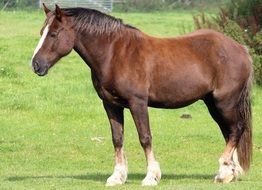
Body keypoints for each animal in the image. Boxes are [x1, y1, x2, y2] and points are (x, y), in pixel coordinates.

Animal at [31, 4, 253, 186]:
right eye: (42, 32)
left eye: (54, 34)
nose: (36, 65)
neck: (114, 54)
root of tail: (240, 49)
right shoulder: (111, 105)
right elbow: (117, 138)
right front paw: (117, 176)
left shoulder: (137, 103)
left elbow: (145, 137)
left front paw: (151, 177)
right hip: (213, 103)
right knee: (228, 132)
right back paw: (229, 172)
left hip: (224, 102)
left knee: (235, 130)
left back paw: (224, 172)